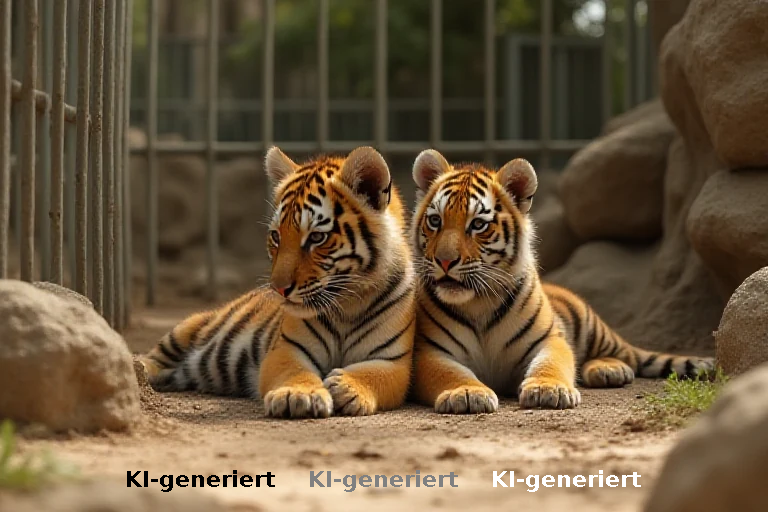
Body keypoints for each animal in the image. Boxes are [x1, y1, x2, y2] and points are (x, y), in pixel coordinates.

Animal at [139, 146, 416, 419]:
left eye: (317, 237)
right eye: (276, 236)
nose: (279, 289)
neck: (347, 306)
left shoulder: (393, 360)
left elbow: (374, 375)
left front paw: (346, 388)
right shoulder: (286, 348)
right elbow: (294, 371)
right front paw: (299, 395)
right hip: (191, 326)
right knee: (156, 356)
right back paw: (138, 369)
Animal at [408, 149, 715, 413]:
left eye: (478, 225)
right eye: (435, 221)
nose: (444, 261)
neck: (478, 303)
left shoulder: (549, 340)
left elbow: (552, 363)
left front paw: (547, 389)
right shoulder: (430, 352)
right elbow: (451, 373)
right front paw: (467, 392)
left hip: (591, 325)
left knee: (623, 354)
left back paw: (608, 369)